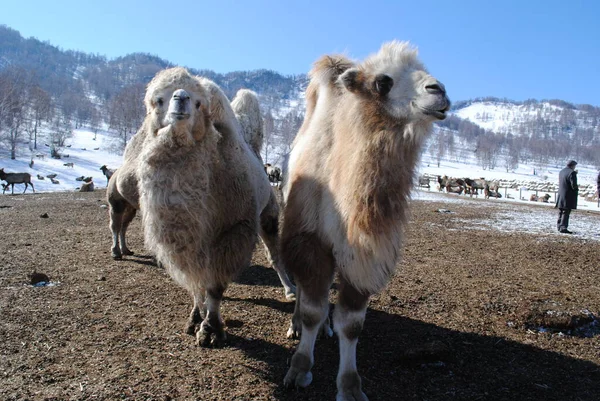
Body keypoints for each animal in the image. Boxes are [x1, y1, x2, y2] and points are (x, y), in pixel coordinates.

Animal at [135, 67, 296, 346]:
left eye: (199, 103)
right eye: (158, 100)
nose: (181, 98)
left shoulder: (232, 231)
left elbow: (215, 285)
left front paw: (211, 329)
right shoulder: (184, 243)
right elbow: (195, 282)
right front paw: (194, 317)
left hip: (268, 213)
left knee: (274, 253)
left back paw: (289, 290)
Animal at [282, 41, 450, 400]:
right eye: (383, 81)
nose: (439, 91)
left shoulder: (364, 254)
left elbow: (352, 323)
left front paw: (349, 386)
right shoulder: (309, 240)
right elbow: (312, 309)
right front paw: (299, 368)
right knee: (305, 292)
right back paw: (296, 325)